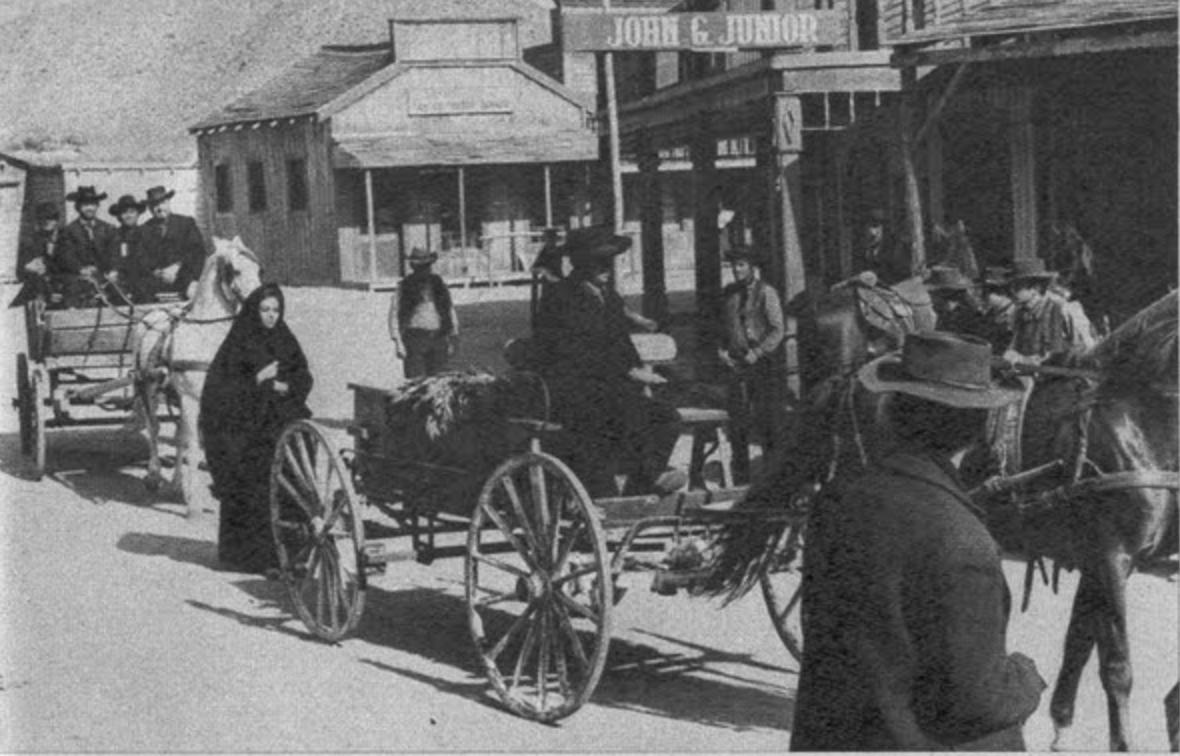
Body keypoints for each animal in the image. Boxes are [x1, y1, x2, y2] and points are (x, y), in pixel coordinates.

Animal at [134, 235, 263, 516]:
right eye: (236, 270)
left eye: (259, 269)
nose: (265, 305)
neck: (207, 337)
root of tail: (155, 312)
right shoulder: (192, 400)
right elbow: (194, 446)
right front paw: (193, 505)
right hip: (149, 388)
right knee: (154, 427)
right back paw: (154, 475)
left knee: (178, 434)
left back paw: (176, 485)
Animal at [703, 287, 1175, 750]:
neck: (1132, 413)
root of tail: (850, 378)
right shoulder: (1112, 555)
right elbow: (1116, 665)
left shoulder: (1097, 558)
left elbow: (1079, 642)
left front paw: (1061, 726)